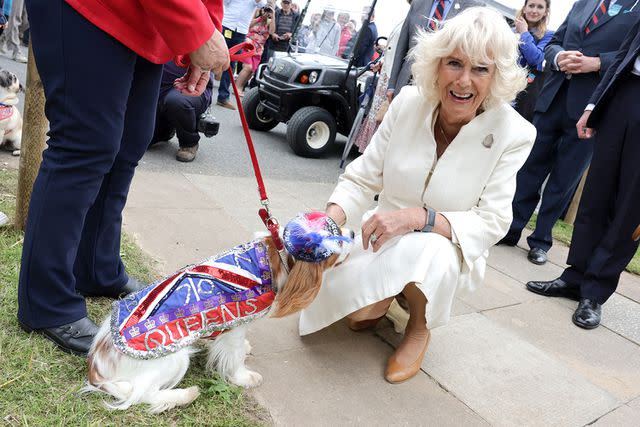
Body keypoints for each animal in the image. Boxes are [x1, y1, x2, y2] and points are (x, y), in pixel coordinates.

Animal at [83, 213, 352, 414]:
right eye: (337, 239)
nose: (352, 234)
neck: (275, 253)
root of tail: (96, 366)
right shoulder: (238, 322)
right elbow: (235, 356)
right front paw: (244, 377)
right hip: (175, 358)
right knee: (143, 394)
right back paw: (185, 394)